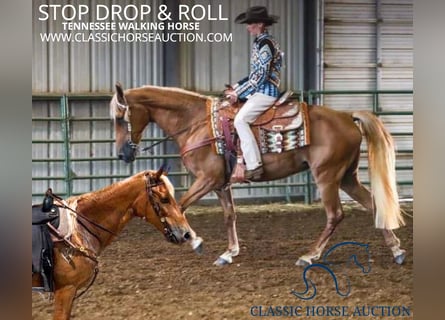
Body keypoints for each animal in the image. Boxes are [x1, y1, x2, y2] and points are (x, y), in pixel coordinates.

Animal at [110, 83, 406, 268]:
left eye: (119, 117)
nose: (122, 154)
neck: (196, 123)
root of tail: (347, 117)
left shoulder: (206, 179)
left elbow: (180, 206)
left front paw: (192, 240)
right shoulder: (220, 184)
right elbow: (229, 216)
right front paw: (228, 253)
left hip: (327, 177)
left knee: (336, 215)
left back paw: (309, 255)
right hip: (347, 177)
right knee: (374, 206)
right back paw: (396, 250)